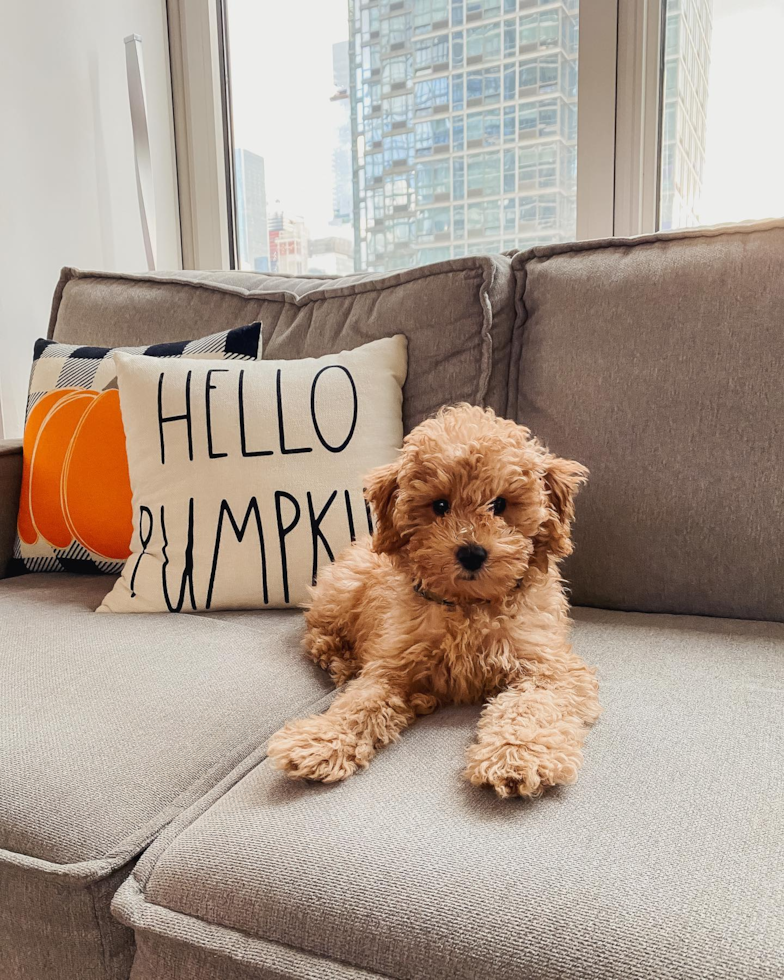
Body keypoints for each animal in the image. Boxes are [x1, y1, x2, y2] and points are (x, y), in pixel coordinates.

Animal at [266, 404, 604, 796]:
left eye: (500, 504)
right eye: (440, 505)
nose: (472, 553)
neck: (468, 605)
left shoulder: (548, 665)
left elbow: (531, 706)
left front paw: (516, 756)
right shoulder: (392, 662)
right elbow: (360, 702)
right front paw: (322, 740)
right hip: (343, 589)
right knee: (316, 633)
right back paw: (344, 661)